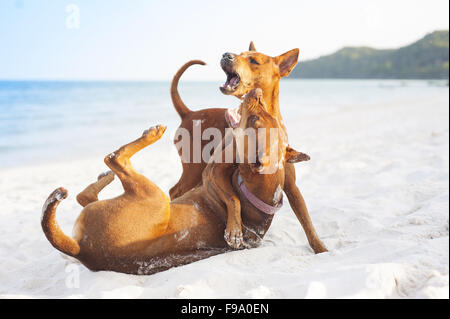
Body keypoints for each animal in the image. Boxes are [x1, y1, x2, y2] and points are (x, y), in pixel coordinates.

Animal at [42, 89, 310, 276]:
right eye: (262, 116)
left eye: (254, 120)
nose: (256, 92)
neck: (257, 196)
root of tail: (81, 250)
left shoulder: (212, 172)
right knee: (87, 193)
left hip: (154, 195)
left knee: (113, 160)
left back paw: (150, 136)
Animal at [169, 42, 326, 254]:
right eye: (241, 53)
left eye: (254, 60)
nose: (226, 55)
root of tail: (189, 113)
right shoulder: (213, 171)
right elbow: (233, 199)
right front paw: (234, 230)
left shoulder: (291, 186)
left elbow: (306, 220)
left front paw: (320, 248)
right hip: (192, 171)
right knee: (174, 191)